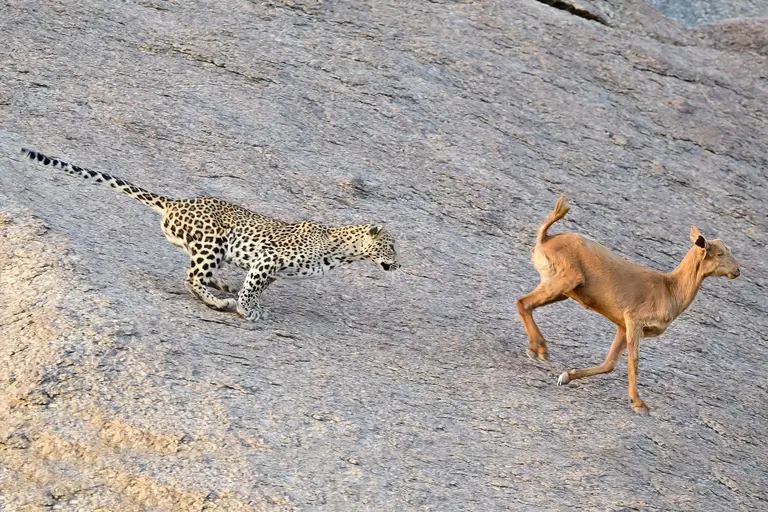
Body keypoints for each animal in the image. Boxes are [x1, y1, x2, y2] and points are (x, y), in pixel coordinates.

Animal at [21, 148, 400, 321]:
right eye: (392, 245)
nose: (398, 265)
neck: (339, 252)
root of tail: (176, 202)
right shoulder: (268, 258)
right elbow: (252, 288)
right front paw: (247, 310)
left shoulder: (272, 270)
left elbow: (257, 286)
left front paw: (252, 303)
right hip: (211, 242)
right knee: (191, 277)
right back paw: (218, 300)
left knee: (199, 274)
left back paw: (222, 287)